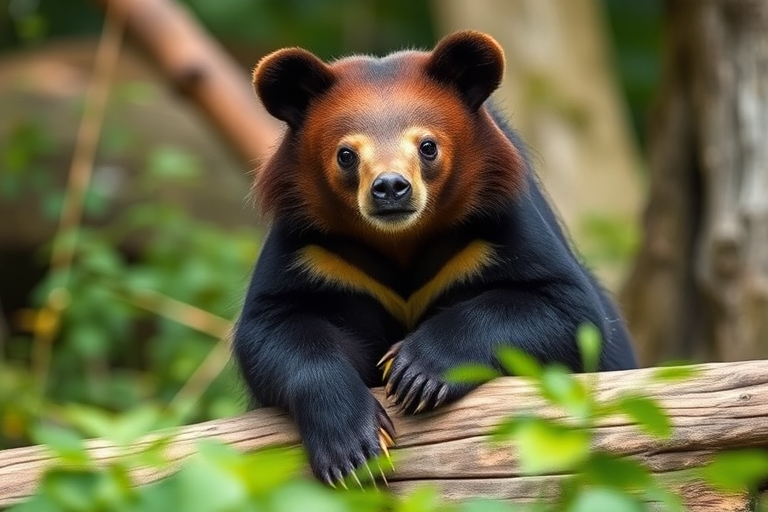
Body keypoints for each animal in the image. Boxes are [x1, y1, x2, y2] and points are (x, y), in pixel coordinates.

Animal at [233, 30, 637, 486]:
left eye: (427, 146)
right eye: (346, 154)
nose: (391, 188)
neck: (400, 241)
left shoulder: (498, 228)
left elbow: (566, 308)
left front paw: (413, 372)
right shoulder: (310, 250)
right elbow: (272, 326)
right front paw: (352, 450)